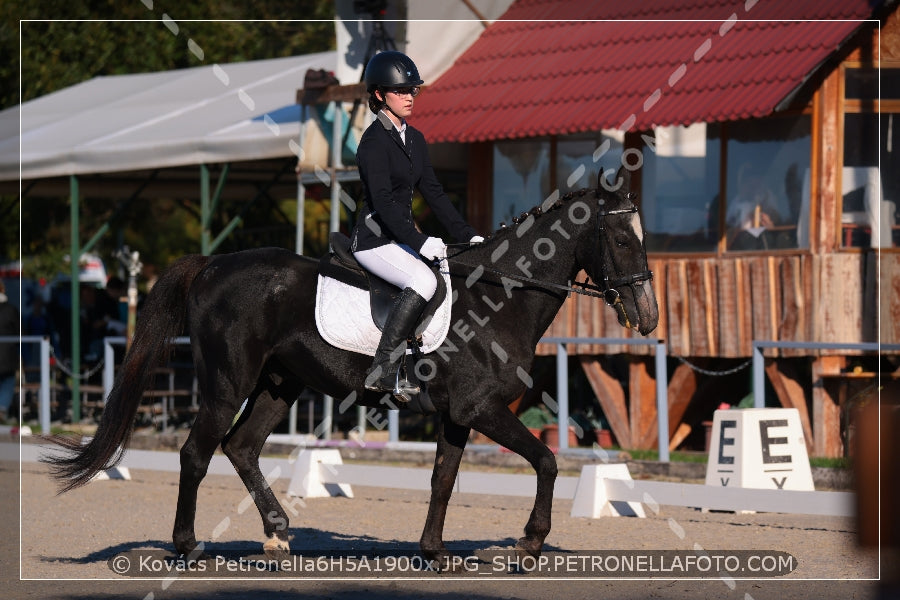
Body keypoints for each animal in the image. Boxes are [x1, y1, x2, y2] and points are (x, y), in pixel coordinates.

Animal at [42, 165, 656, 568]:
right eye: (621, 239)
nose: (648, 316)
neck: (499, 296)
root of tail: (213, 264)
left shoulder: (458, 414)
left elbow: (443, 479)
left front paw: (433, 551)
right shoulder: (481, 408)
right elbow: (547, 460)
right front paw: (529, 542)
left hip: (280, 384)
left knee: (241, 447)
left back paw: (278, 535)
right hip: (227, 382)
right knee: (197, 452)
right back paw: (188, 545)